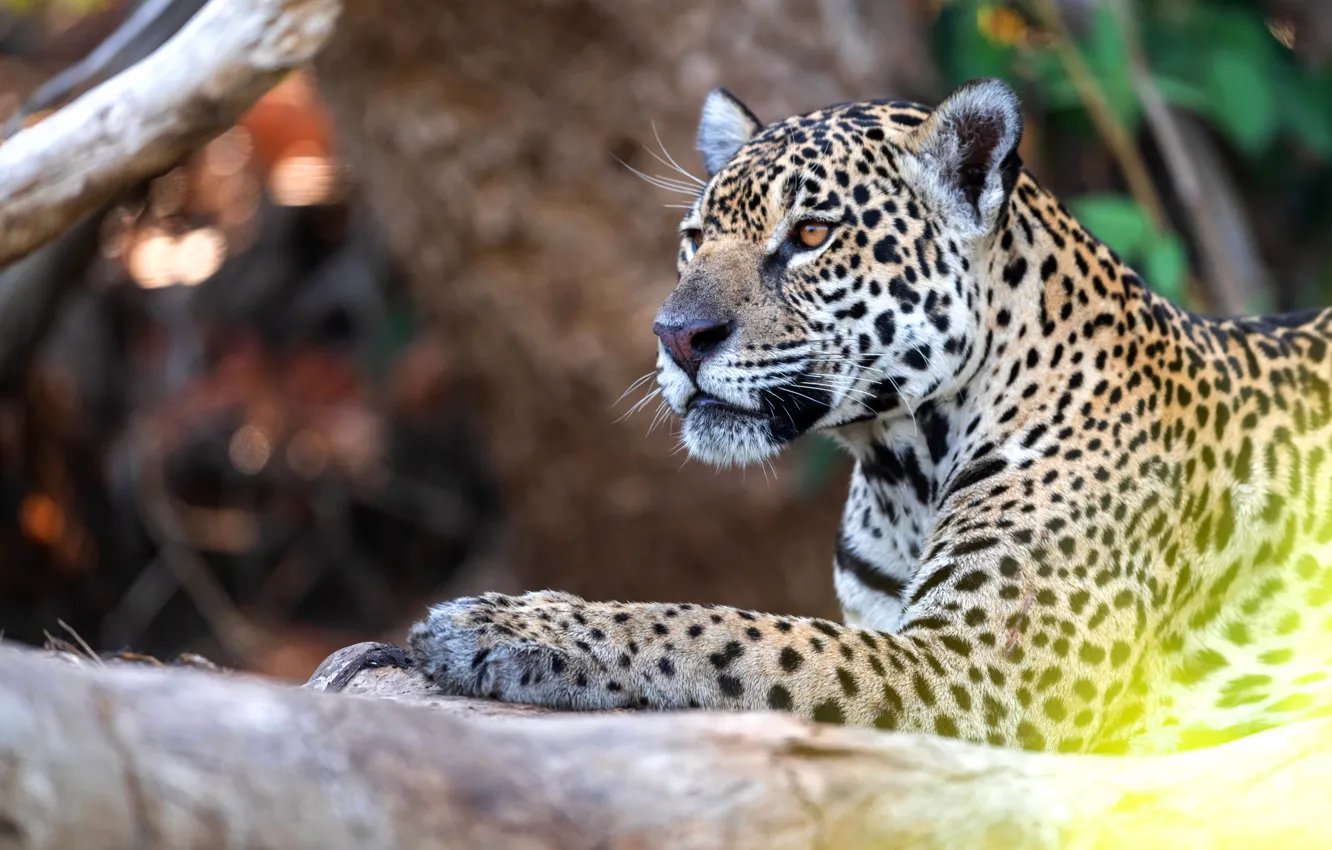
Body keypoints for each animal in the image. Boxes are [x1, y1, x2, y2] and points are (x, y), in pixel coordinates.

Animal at [408, 78, 1332, 754]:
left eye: (812, 235)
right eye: (694, 238)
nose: (676, 337)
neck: (900, 465)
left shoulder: (978, 674)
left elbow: (735, 632)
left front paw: (502, 627)